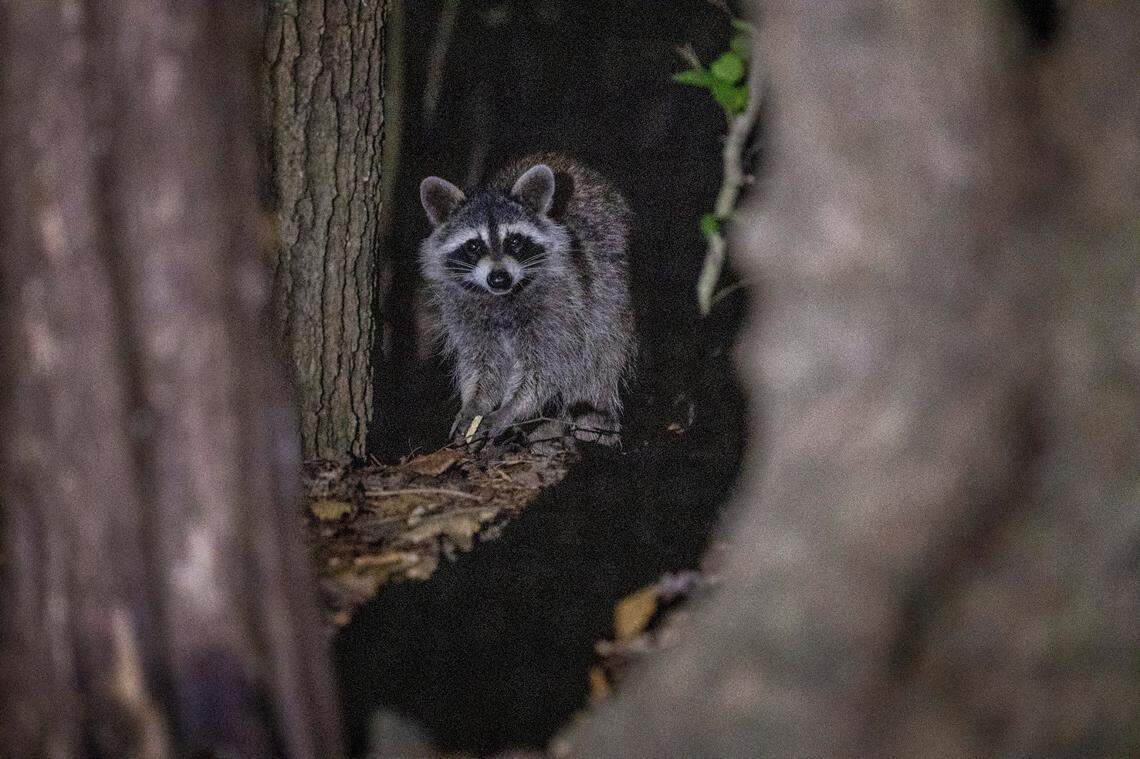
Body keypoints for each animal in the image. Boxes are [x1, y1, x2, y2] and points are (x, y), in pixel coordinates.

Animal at [418, 153, 636, 447]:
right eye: (474, 245)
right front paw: (473, 404)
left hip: (611, 282)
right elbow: (480, 364)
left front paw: (511, 409)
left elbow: (549, 367)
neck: (502, 297)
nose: (499, 278)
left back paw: (594, 413)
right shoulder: (464, 314)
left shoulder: (563, 305)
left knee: (604, 346)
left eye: (515, 242)